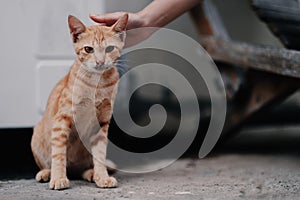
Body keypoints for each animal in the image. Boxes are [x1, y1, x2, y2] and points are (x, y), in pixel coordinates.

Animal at [31, 13, 128, 189]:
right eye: (88, 49)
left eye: (109, 49)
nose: (100, 62)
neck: (96, 84)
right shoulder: (62, 118)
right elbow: (58, 153)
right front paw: (58, 177)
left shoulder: (101, 122)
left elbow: (99, 153)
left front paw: (102, 176)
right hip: (36, 136)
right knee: (51, 162)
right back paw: (47, 173)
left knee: (81, 170)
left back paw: (91, 173)